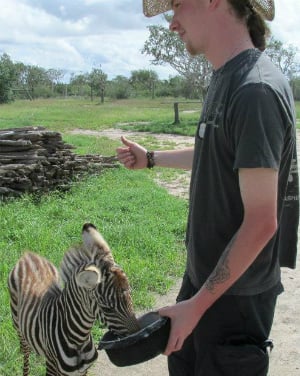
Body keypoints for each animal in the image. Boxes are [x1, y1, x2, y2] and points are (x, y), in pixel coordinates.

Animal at [7, 223, 140, 376]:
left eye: (130, 295)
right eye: (107, 308)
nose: (137, 337)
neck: (79, 339)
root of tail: (27, 255)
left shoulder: (83, 371)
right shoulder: (53, 368)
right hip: (18, 327)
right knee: (26, 354)